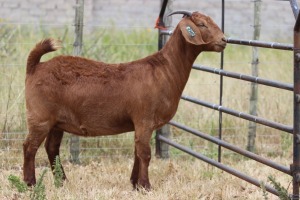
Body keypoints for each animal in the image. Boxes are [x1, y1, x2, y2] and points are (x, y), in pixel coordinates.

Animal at [22, 10, 225, 189]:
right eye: (201, 24)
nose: (224, 40)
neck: (164, 70)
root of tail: (35, 66)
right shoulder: (144, 118)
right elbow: (145, 153)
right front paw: (146, 186)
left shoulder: (140, 123)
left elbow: (137, 152)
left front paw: (135, 184)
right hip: (40, 117)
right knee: (29, 146)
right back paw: (30, 184)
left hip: (57, 121)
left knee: (51, 148)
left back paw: (62, 181)